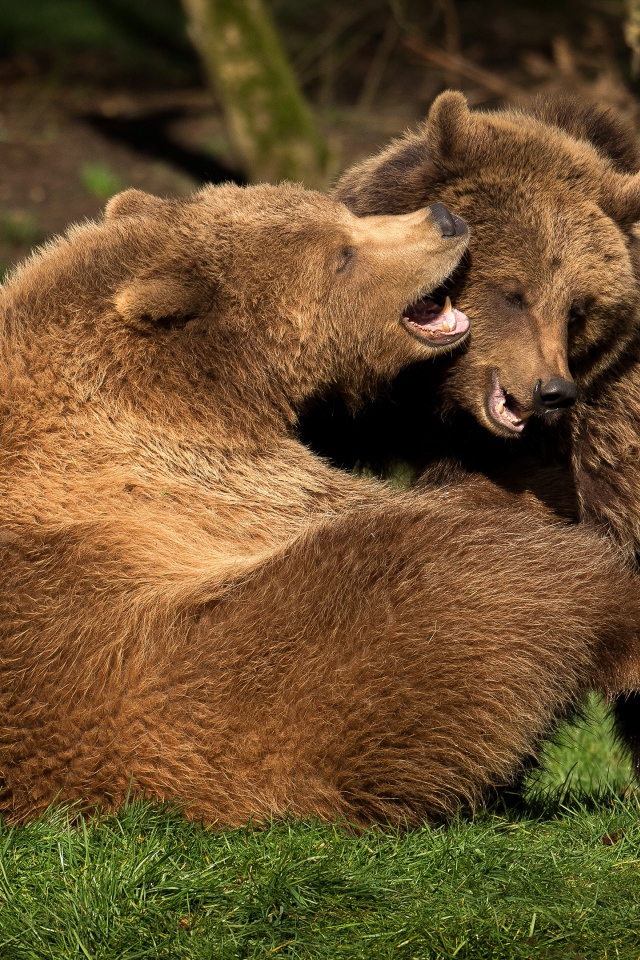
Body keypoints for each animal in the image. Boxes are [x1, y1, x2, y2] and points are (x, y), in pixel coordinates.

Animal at [1, 180, 640, 824]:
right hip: (249, 675)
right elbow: (379, 505)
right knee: (473, 577)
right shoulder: (200, 482)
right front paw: (540, 469)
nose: (444, 220)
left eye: (342, 215)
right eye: (343, 255)